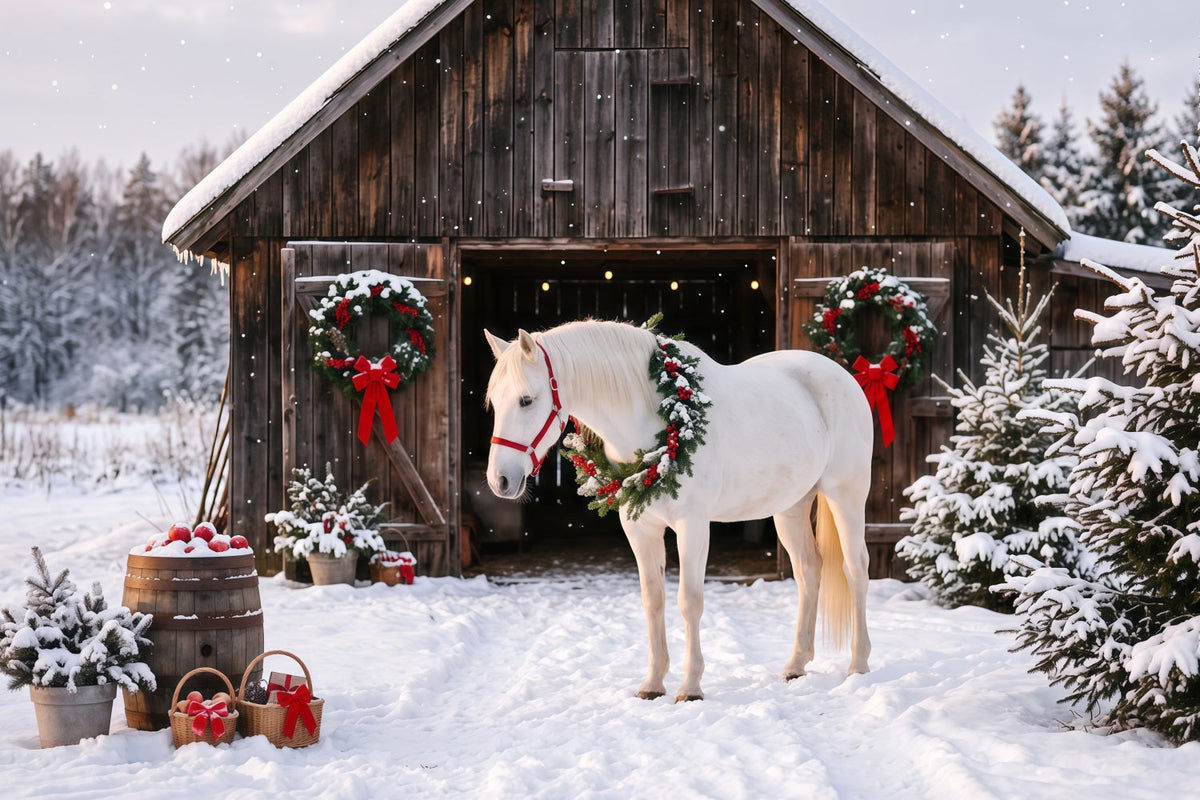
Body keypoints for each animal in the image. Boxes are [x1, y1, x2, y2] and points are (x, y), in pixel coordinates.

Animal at [483, 319, 873, 701]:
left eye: (526, 400)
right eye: (494, 403)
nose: (500, 480)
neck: (658, 418)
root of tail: (843, 377)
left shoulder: (693, 526)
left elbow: (689, 601)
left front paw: (691, 687)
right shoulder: (640, 528)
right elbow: (653, 600)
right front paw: (653, 683)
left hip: (846, 496)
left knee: (855, 570)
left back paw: (858, 665)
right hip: (791, 507)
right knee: (809, 570)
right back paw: (796, 664)